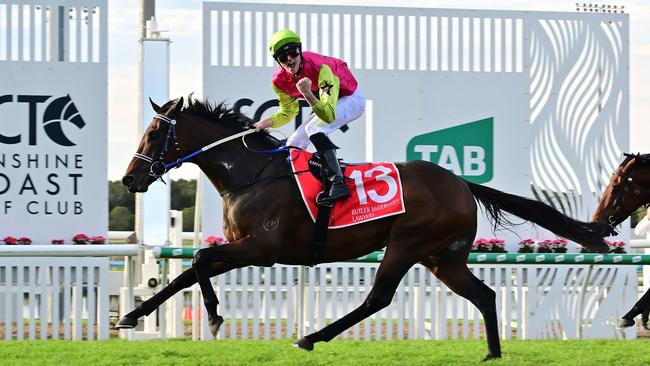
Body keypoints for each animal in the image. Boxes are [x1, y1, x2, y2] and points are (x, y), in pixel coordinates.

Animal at [117, 96, 608, 360]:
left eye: (154, 135)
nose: (129, 179)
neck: (250, 173)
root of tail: (460, 182)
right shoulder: (241, 246)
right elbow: (184, 273)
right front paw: (130, 316)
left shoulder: (261, 249)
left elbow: (199, 259)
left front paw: (217, 316)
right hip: (442, 257)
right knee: (484, 295)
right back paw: (492, 352)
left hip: (407, 244)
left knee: (378, 298)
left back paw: (311, 337)